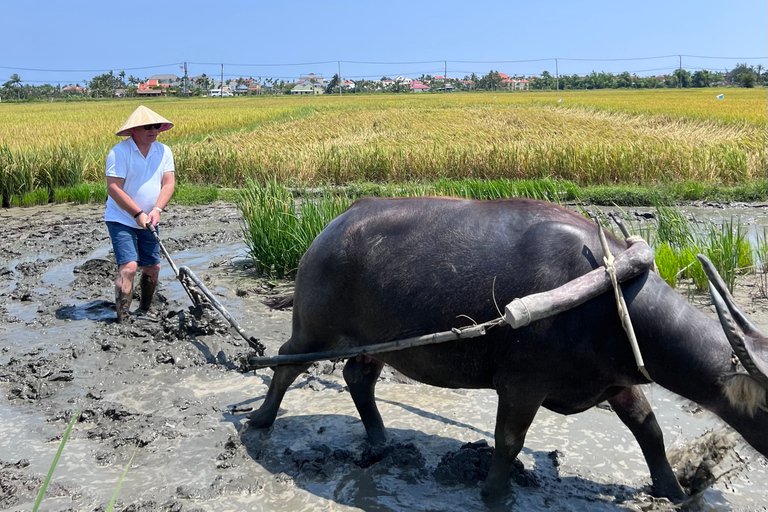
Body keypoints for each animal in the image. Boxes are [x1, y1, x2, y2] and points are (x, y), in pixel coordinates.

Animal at [246, 197, 768, 504]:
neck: (608, 296)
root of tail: (329, 230)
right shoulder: (522, 385)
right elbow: (508, 440)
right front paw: (495, 493)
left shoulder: (615, 381)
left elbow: (649, 431)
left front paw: (673, 490)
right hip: (312, 330)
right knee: (284, 365)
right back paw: (259, 421)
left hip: (375, 343)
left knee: (359, 378)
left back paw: (378, 439)